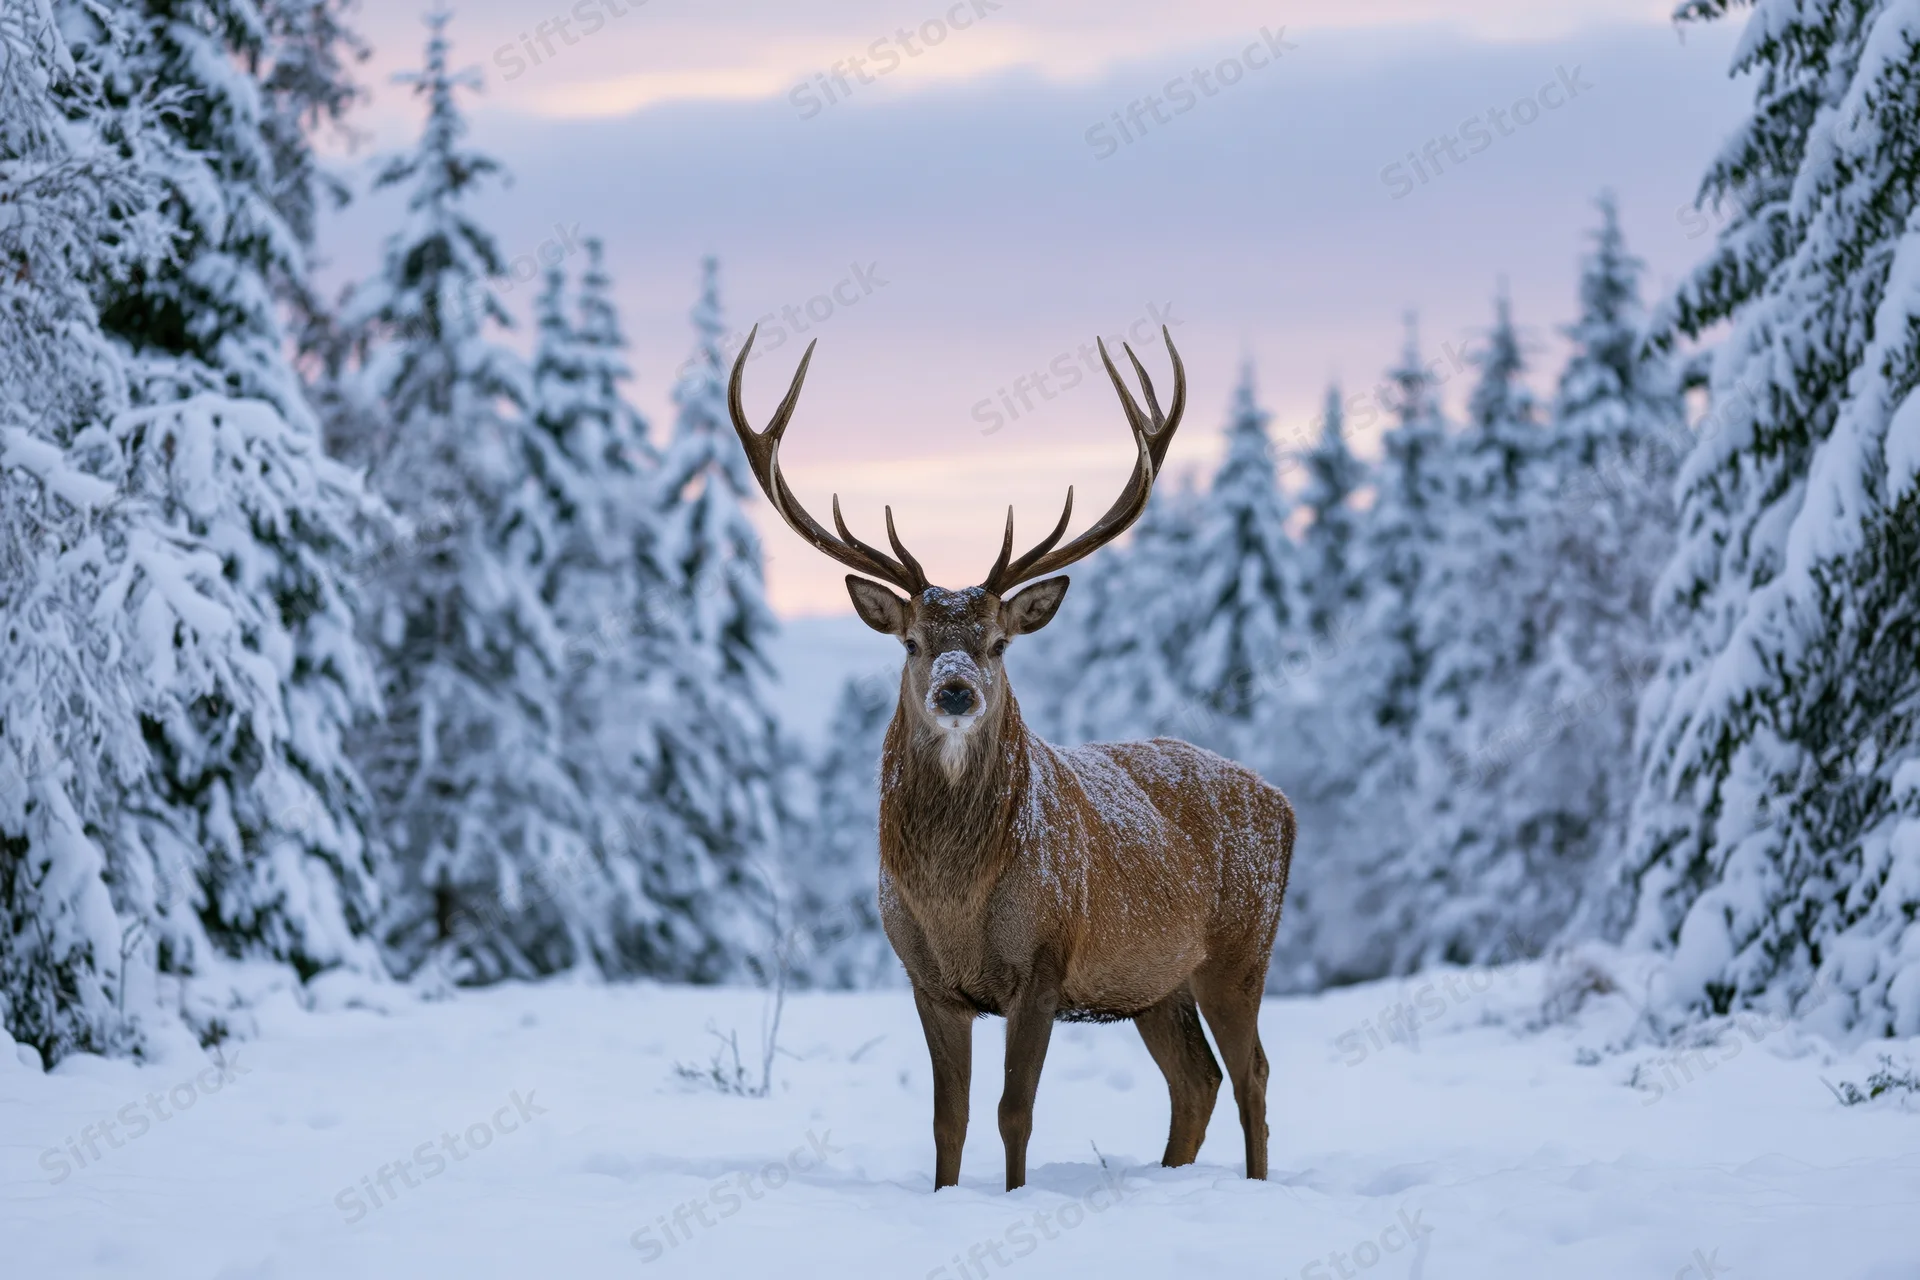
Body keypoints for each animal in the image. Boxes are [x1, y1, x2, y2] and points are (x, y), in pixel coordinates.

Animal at [727, 324, 1295, 1192]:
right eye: (913, 641)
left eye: (998, 641)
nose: (957, 690)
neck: (955, 903)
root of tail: (1285, 803)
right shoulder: (926, 977)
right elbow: (948, 1120)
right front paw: (945, 1194)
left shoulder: (1045, 961)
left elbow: (1013, 1113)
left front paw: (1015, 1196)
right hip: (1154, 980)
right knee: (1195, 1081)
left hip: (1241, 948)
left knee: (1253, 1075)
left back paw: (1257, 1186)